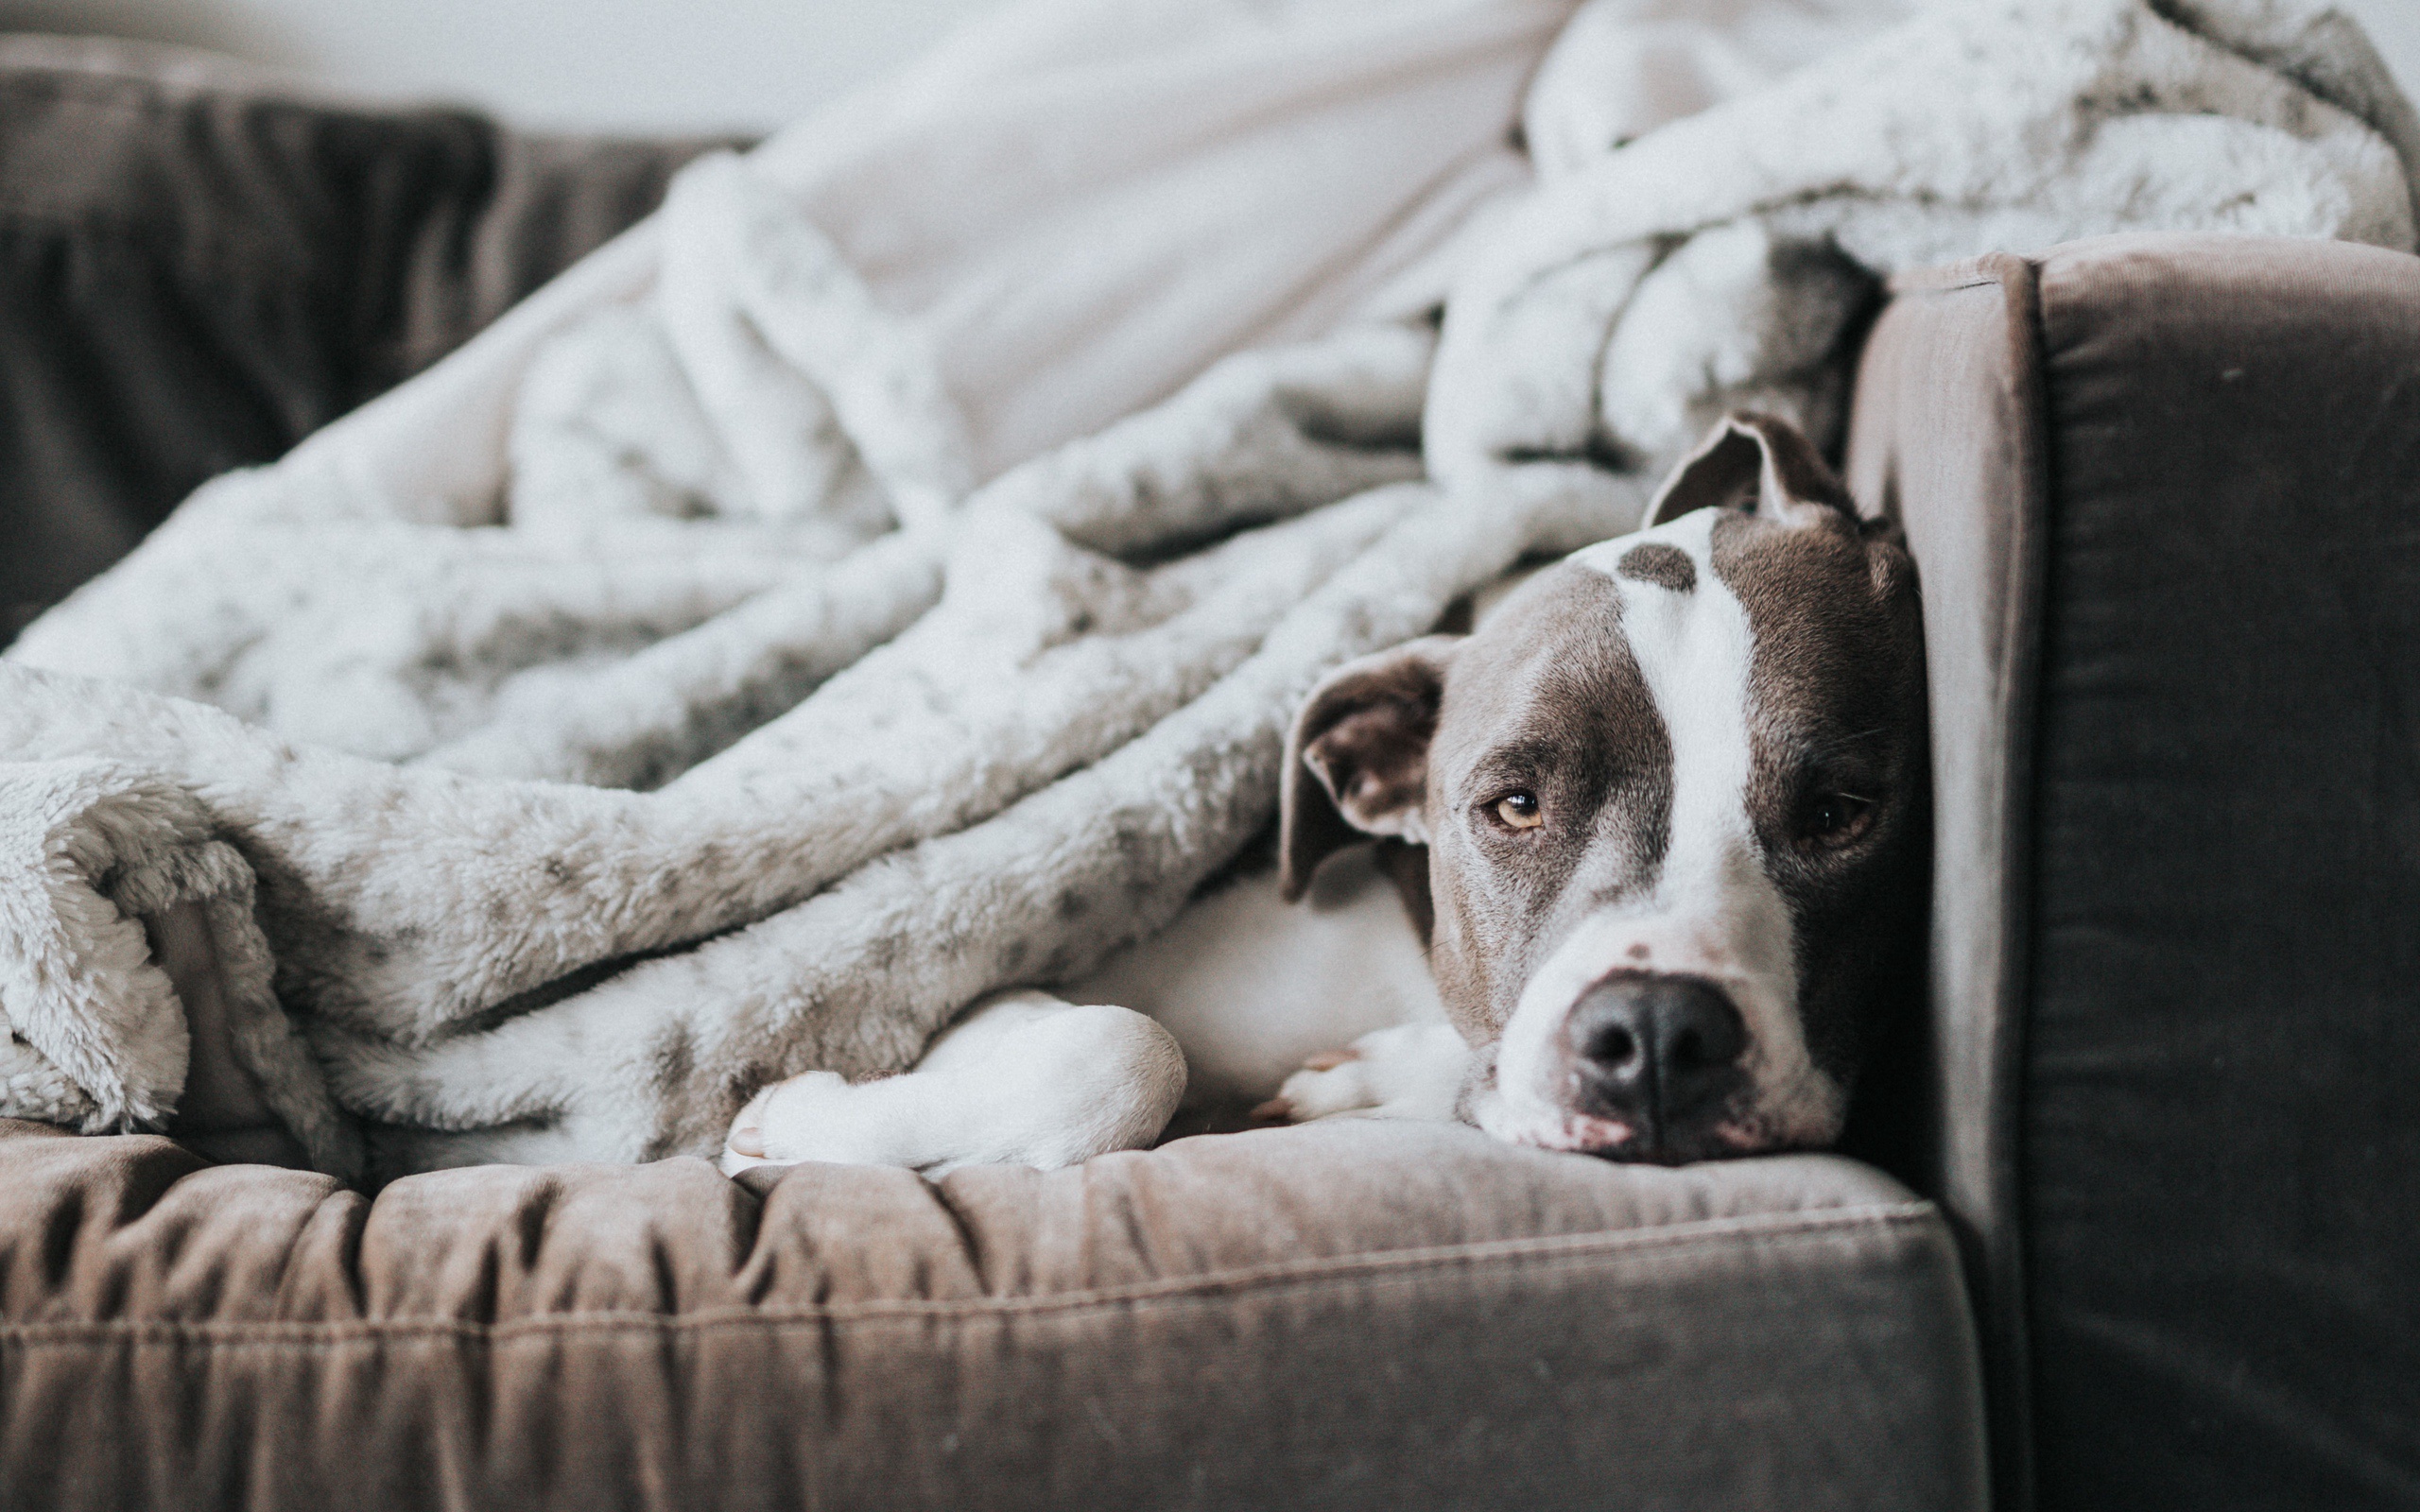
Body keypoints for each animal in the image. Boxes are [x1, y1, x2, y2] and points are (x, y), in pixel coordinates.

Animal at [720, 413, 1926, 1180]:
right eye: (1514, 805)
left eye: (1838, 811)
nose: (1661, 1033)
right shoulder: (996, 995)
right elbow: (1124, 1044)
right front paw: (790, 1118)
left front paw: (1367, 1081)